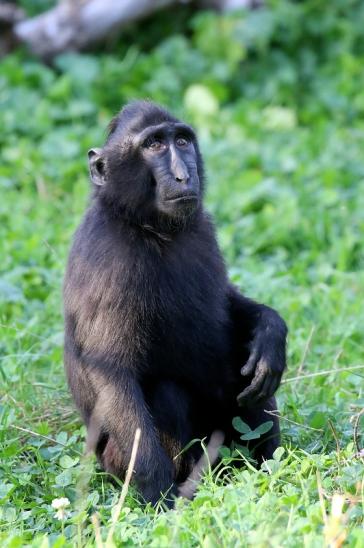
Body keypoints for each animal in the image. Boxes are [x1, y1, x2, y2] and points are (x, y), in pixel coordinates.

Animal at [64, 99, 288, 510]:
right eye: (153, 145)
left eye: (181, 140)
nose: (185, 177)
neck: (148, 228)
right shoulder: (112, 264)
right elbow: (113, 374)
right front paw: (159, 496)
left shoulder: (203, 231)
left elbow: (228, 304)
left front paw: (270, 331)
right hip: (117, 462)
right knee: (166, 395)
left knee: (247, 372)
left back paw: (263, 471)